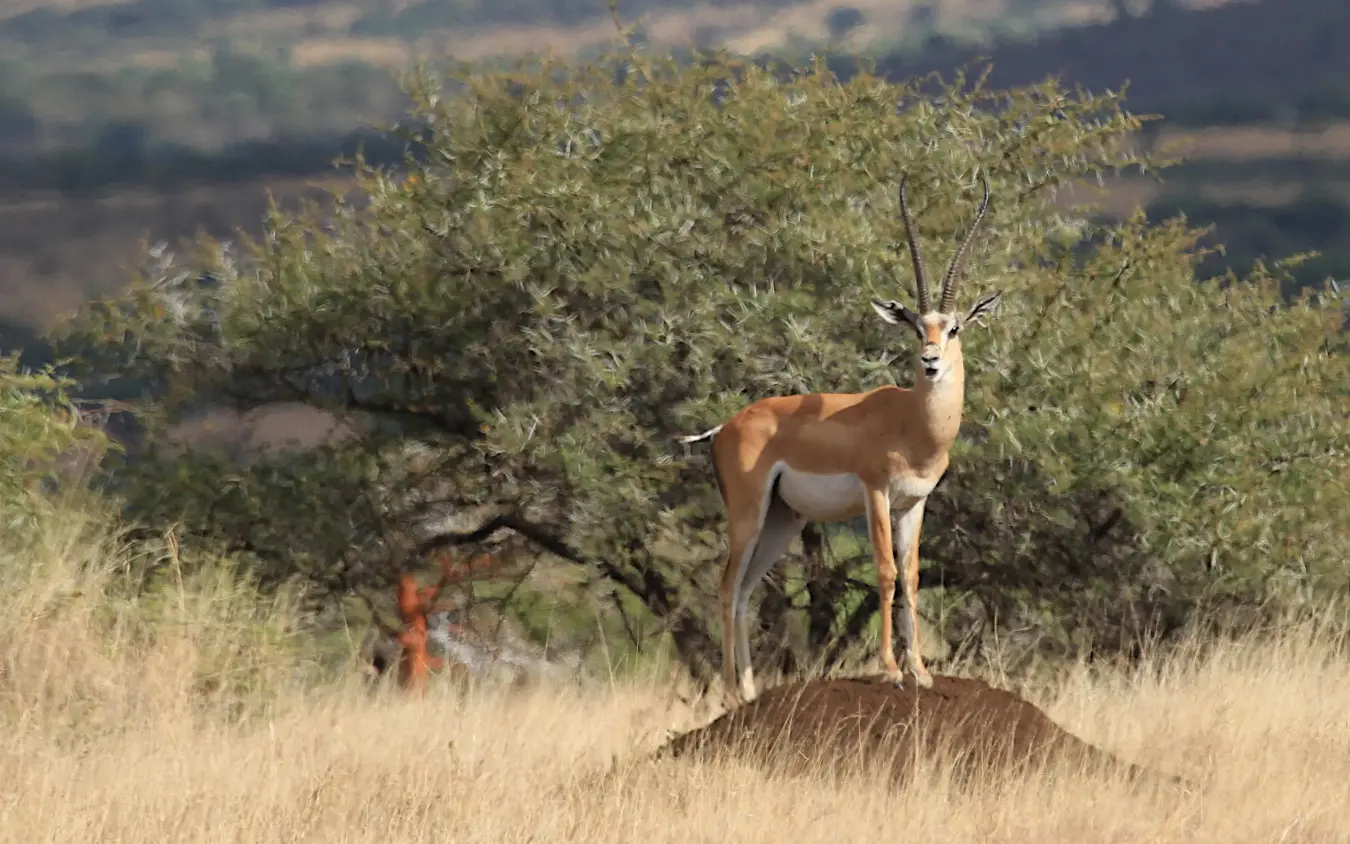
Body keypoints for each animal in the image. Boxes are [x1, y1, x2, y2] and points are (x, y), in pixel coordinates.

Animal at [679, 172, 1002, 704]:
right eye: (917, 328)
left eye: (953, 328)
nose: (930, 361)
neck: (912, 424)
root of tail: (725, 426)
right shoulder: (875, 493)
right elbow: (886, 573)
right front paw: (891, 671)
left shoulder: (914, 503)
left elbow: (912, 577)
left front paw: (922, 672)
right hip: (747, 514)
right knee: (727, 587)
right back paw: (731, 692)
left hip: (781, 520)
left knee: (744, 589)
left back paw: (750, 689)